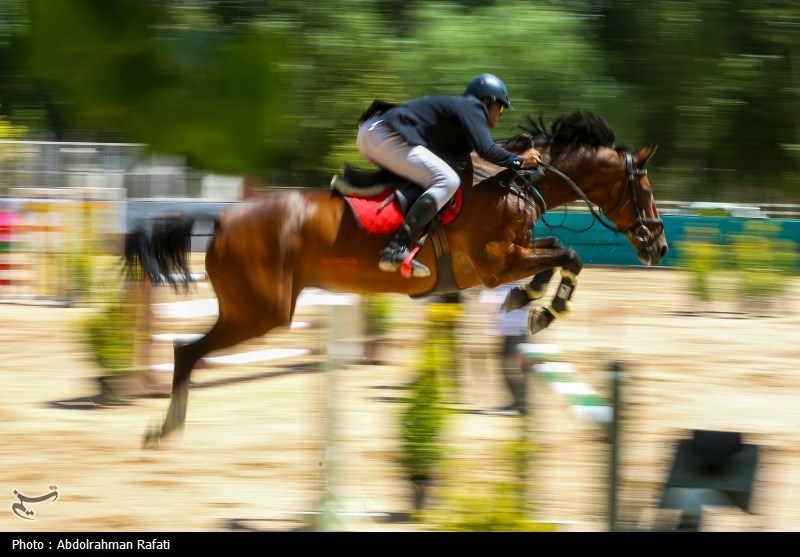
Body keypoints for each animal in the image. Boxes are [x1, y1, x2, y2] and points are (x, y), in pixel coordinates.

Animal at [123, 109, 664, 448]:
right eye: (644, 189)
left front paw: (528, 301)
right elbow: (570, 254)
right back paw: (166, 428)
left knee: (187, 350)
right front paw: (542, 308)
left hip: (253, 309)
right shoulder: (495, 263)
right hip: (261, 312)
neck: (514, 183)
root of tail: (221, 220)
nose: (657, 247)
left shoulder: (513, 255)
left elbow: (560, 254)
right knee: (187, 351)